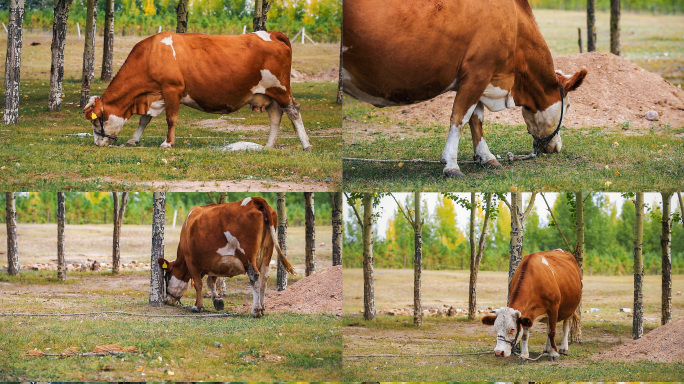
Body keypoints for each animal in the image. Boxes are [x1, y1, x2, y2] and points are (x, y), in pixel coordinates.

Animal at [83, 30, 312, 151]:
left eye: (96, 121)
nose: (97, 143)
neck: (152, 55)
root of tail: (271, 33)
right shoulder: (155, 95)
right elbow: (144, 119)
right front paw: (133, 139)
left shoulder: (172, 89)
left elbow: (171, 119)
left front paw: (167, 143)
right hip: (267, 94)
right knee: (275, 115)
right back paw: (269, 145)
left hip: (280, 89)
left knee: (293, 111)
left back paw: (306, 144)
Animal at [158, 196, 296, 316]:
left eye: (166, 277)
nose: (167, 300)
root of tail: (254, 200)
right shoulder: (215, 262)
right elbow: (211, 281)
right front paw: (217, 300)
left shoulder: (191, 260)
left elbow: (198, 284)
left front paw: (198, 306)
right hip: (267, 251)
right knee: (264, 277)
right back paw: (262, 308)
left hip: (247, 256)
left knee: (255, 276)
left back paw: (256, 311)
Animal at [342, 0, 588, 177]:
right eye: (569, 106)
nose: (556, 147)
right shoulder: (478, 72)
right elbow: (459, 118)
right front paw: (451, 164)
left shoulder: (480, 79)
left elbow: (476, 119)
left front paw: (486, 156)